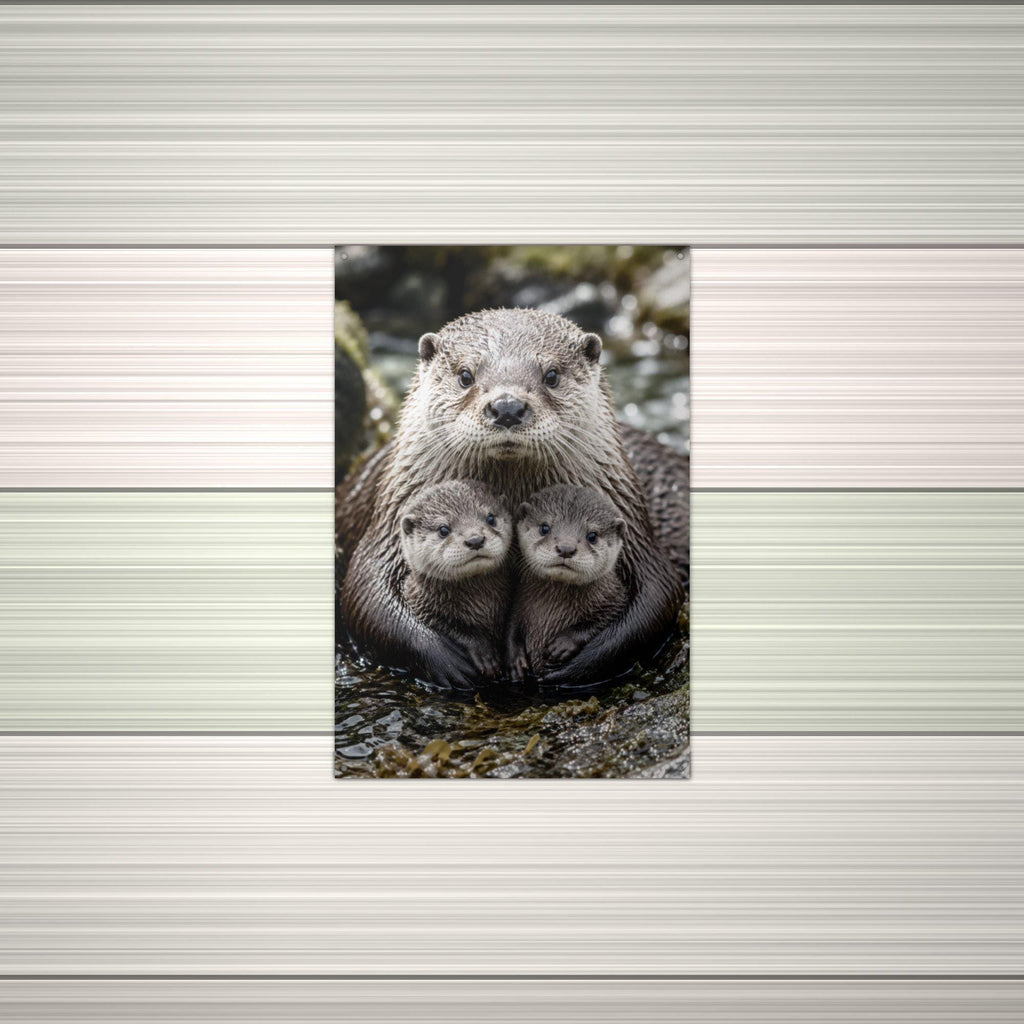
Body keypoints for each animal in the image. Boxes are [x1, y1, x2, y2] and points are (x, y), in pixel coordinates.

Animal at [399, 480, 512, 680]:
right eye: (443, 529)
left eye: (491, 518)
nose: (475, 540)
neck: (482, 605)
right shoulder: (422, 605)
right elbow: (453, 628)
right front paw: (484, 653)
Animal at [506, 485, 628, 681]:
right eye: (545, 528)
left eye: (592, 535)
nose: (566, 548)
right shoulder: (519, 601)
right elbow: (510, 629)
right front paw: (515, 660)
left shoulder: (616, 597)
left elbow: (603, 619)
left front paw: (563, 644)